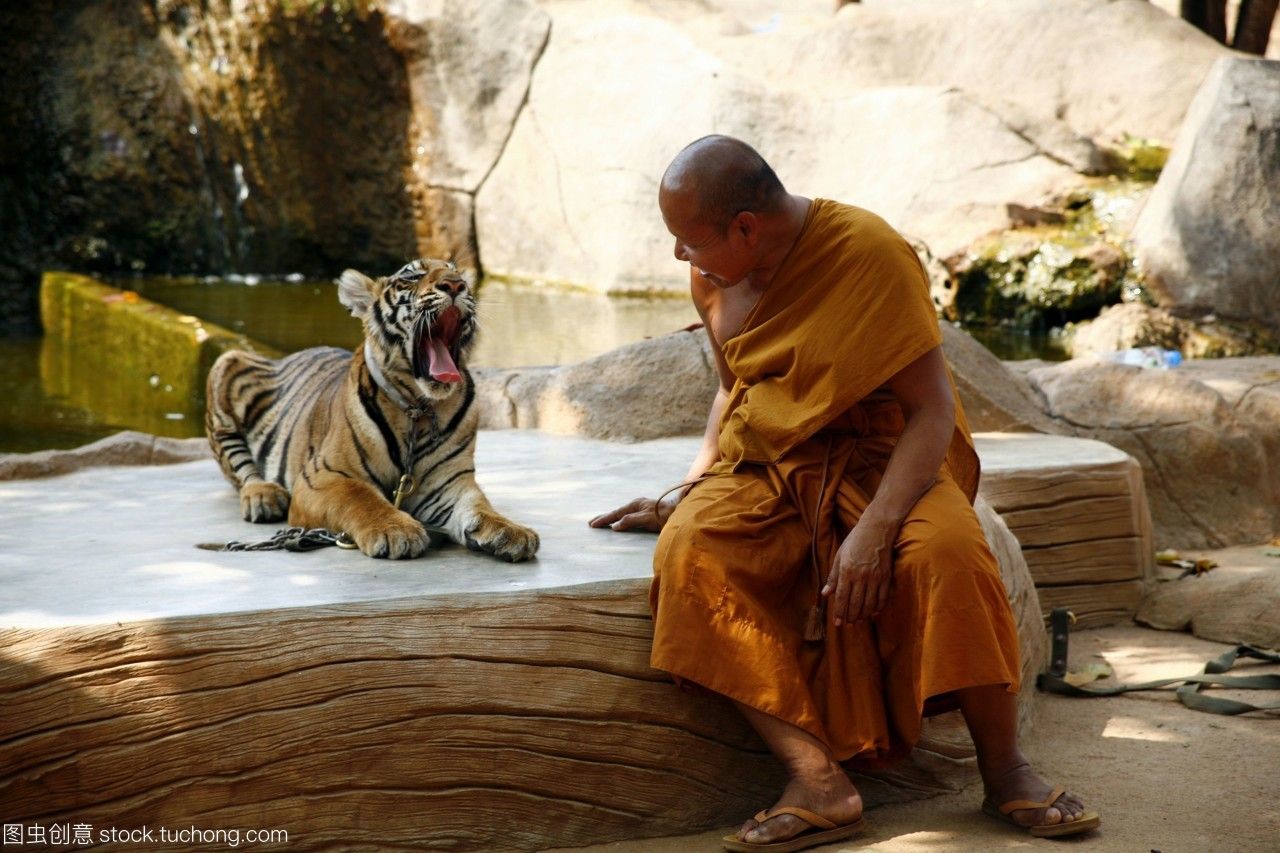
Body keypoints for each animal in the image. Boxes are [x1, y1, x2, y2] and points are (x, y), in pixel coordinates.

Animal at [203, 256, 540, 560]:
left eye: (459, 275)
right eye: (412, 277)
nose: (456, 285)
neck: (419, 408)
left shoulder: (450, 483)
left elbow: (479, 506)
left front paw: (511, 532)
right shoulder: (322, 476)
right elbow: (361, 497)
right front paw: (395, 530)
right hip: (229, 363)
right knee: (239, 464)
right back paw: (263, 496)